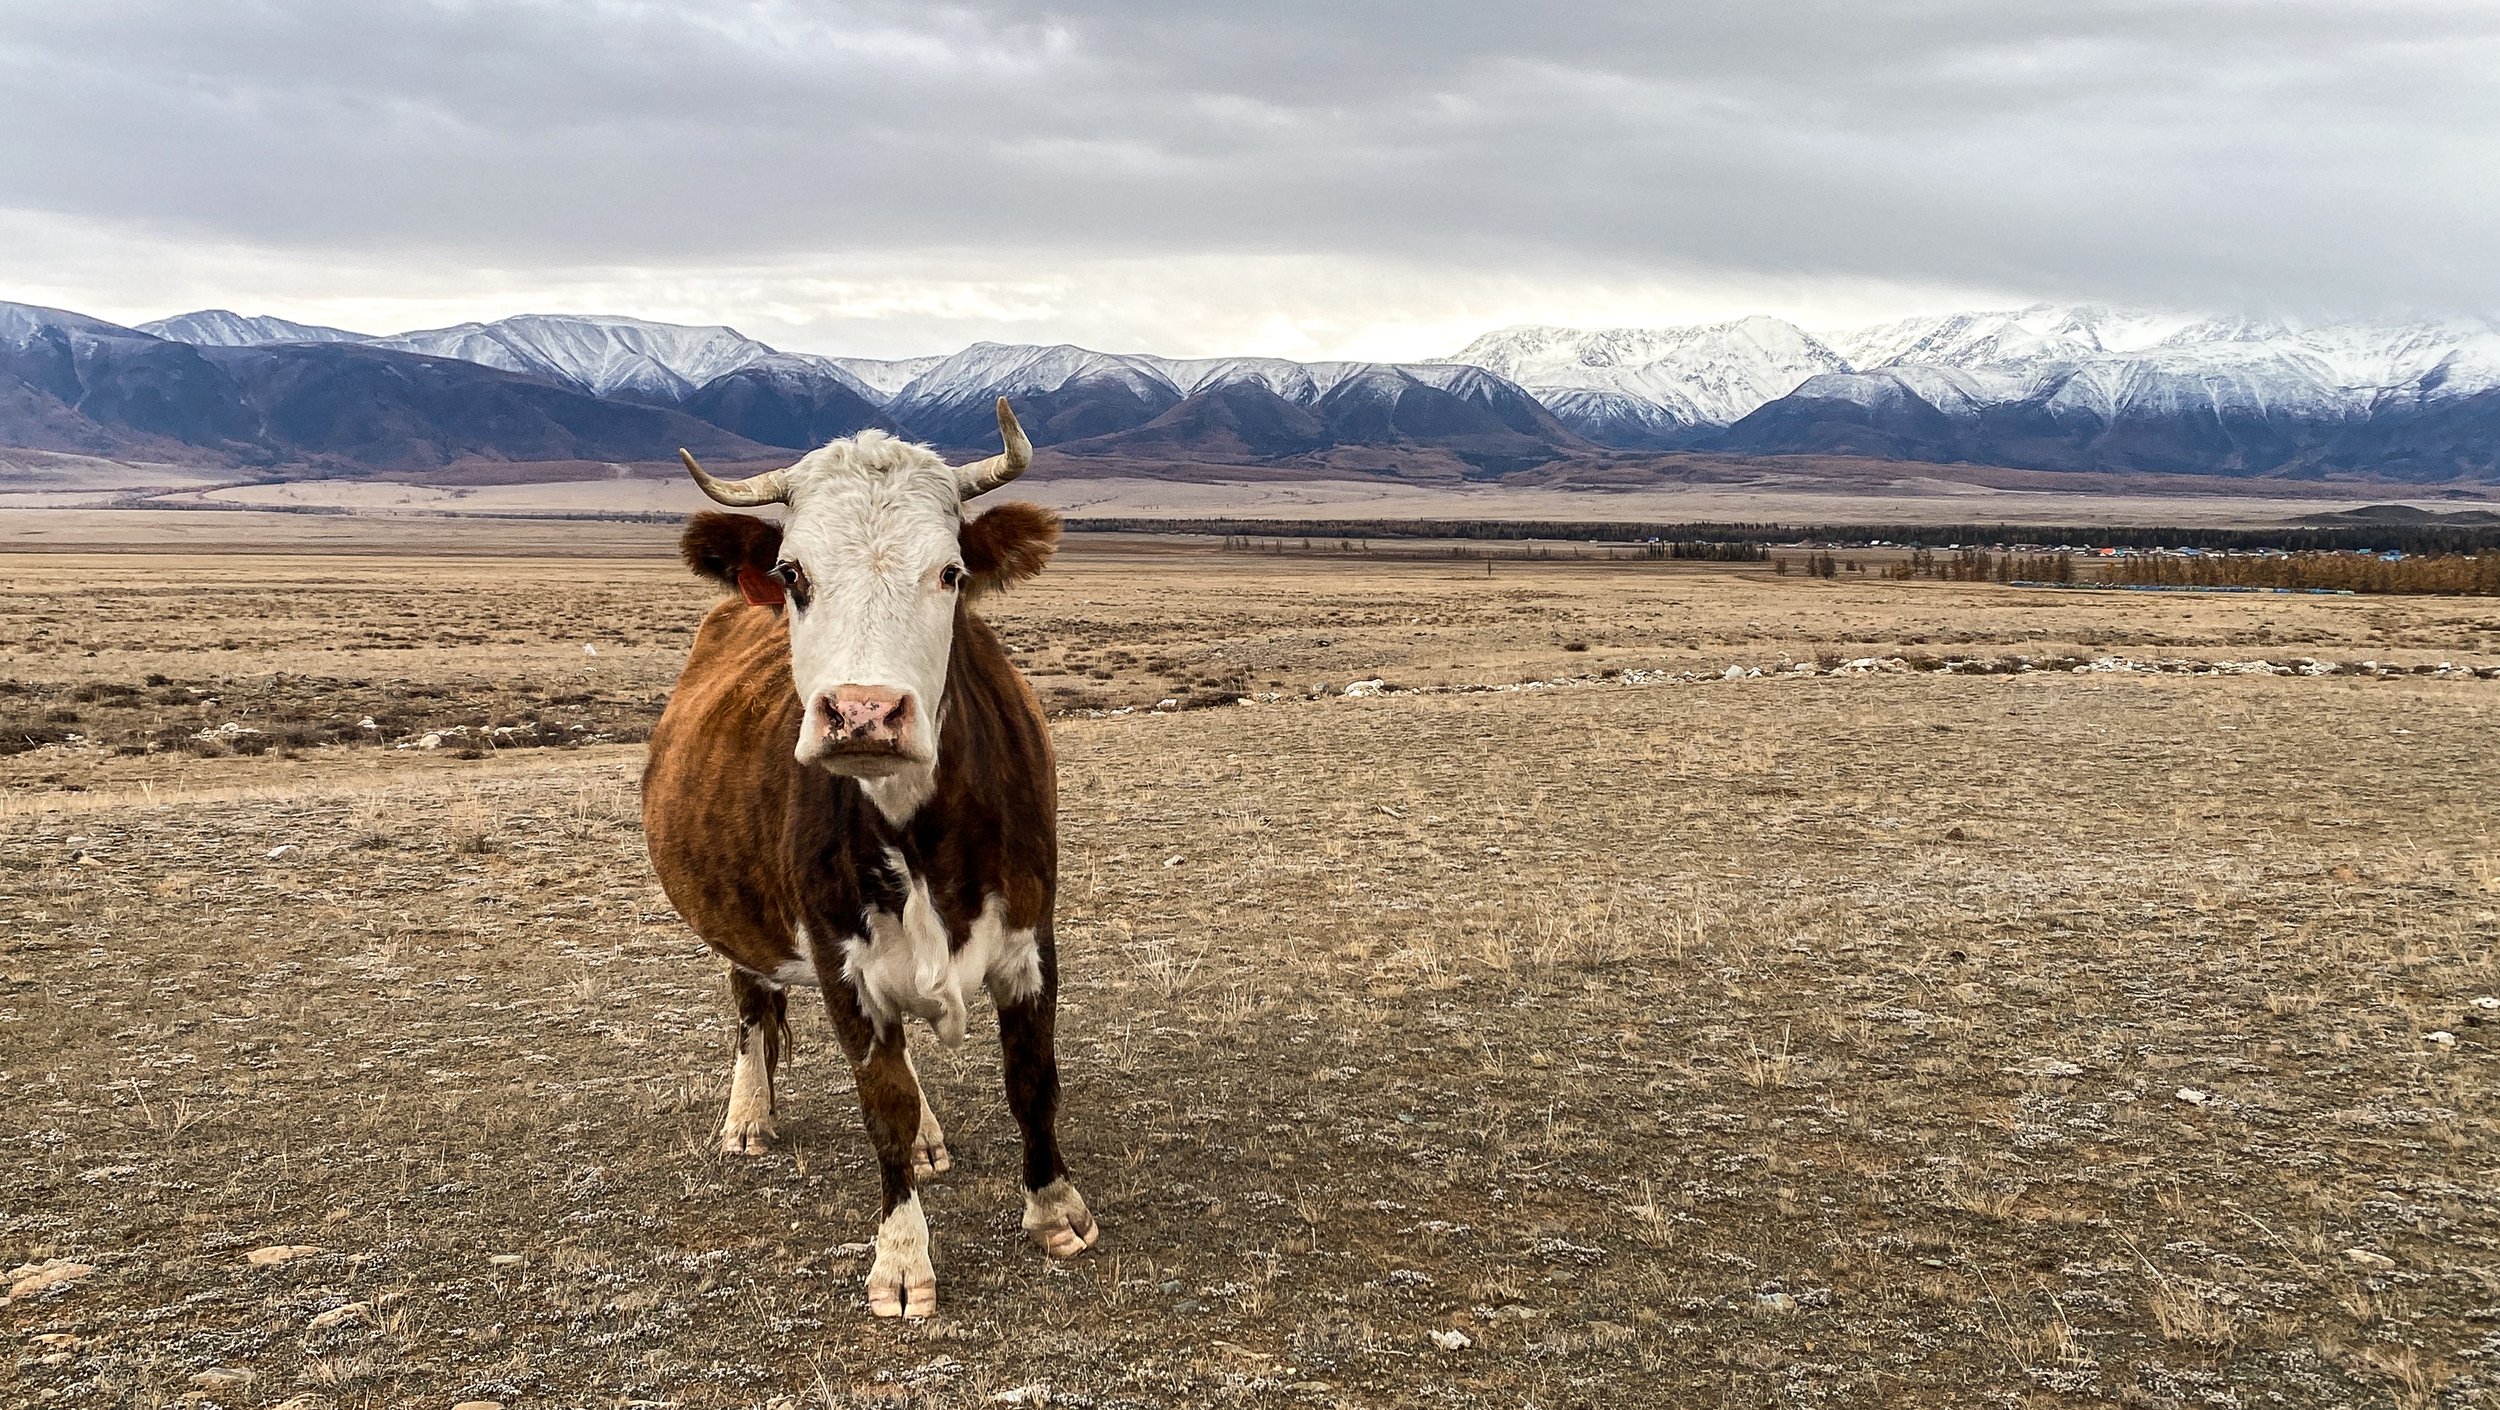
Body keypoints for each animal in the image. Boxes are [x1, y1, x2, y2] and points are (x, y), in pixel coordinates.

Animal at [645, 400, 1095, 1320]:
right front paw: (901, 1262)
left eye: (951, 572)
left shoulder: (1033, 938)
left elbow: (1032, 1079)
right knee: (751, 1003)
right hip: (738, 917)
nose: (863, 714)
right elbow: (879, 1101)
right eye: (793, 573)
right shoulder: (838, 960)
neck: (922, 834)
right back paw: (748, 1117)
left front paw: (1056, 1212)